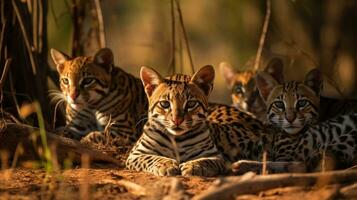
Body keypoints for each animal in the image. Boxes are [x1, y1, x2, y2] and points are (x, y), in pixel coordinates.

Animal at [125, 65, 270, 176]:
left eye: (191, 104)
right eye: (165, 104)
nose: (177, 120)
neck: (176, 139)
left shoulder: (215, 156)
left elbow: (204, 160)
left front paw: (193, 166)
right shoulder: (136, 154)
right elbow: (152, 158)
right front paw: (166, 165)